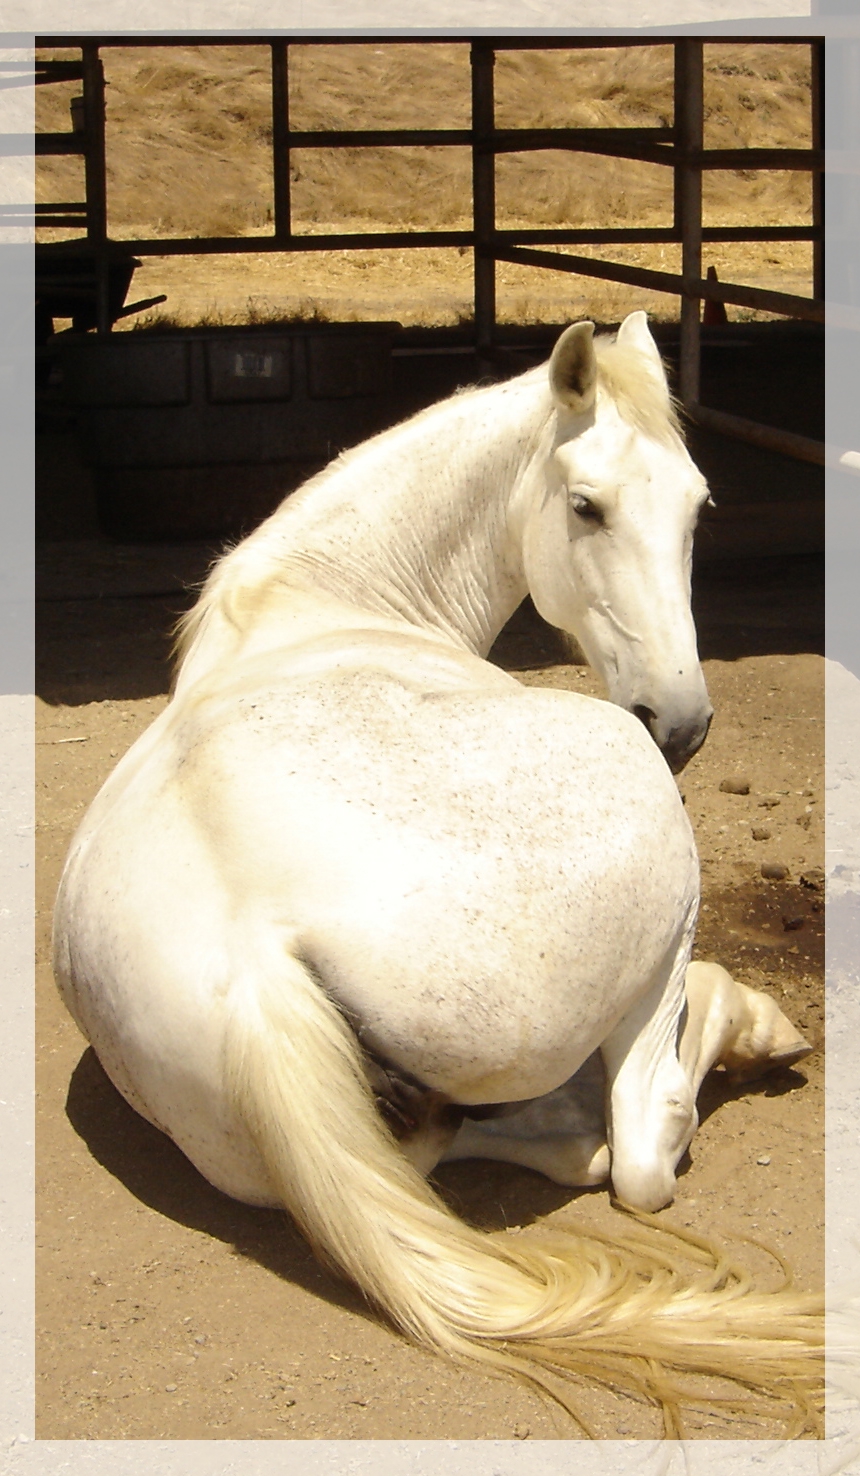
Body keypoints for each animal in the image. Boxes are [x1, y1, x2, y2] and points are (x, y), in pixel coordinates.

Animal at [53, 312, 821, 1434]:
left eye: (696, 505)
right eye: (585, 506)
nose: (680, 724)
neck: (322, 603)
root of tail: (257, 960)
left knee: (544, 1148)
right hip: (646, 857)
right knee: (642, 1138)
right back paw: (751, 1030)